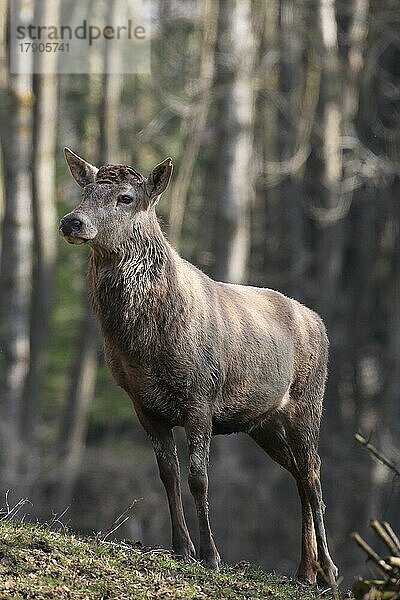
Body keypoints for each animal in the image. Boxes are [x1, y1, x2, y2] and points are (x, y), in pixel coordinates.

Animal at [60, 148, 338, 584]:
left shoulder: (201, 396)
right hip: (261, 421)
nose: (72, 221)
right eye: (85, 191)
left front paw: (210, 555)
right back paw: (303, 570)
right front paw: (180, 548)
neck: (146, 347)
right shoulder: (141, 402)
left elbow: (199, 478)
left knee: (313, 475)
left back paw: (327, 568)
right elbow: (168, 474)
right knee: (297, 475)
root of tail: (319, 323)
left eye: (126, 198)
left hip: (308, 400)